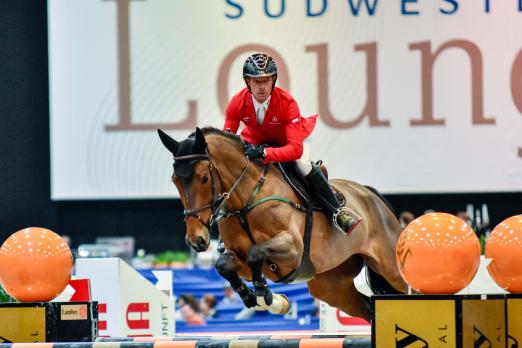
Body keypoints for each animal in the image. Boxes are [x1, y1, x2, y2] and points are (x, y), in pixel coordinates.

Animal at [158, 126, 406, 320]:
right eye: (174, 180)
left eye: (203, 178)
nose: (196, 240)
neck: (246, 200)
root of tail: (372, 196)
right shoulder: (238, 256)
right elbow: (224, 264)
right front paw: (255, 297)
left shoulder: (293, 249)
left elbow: (256, 253)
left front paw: (266, 296)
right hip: (331, 286)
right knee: (367, 309)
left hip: (391, 269)